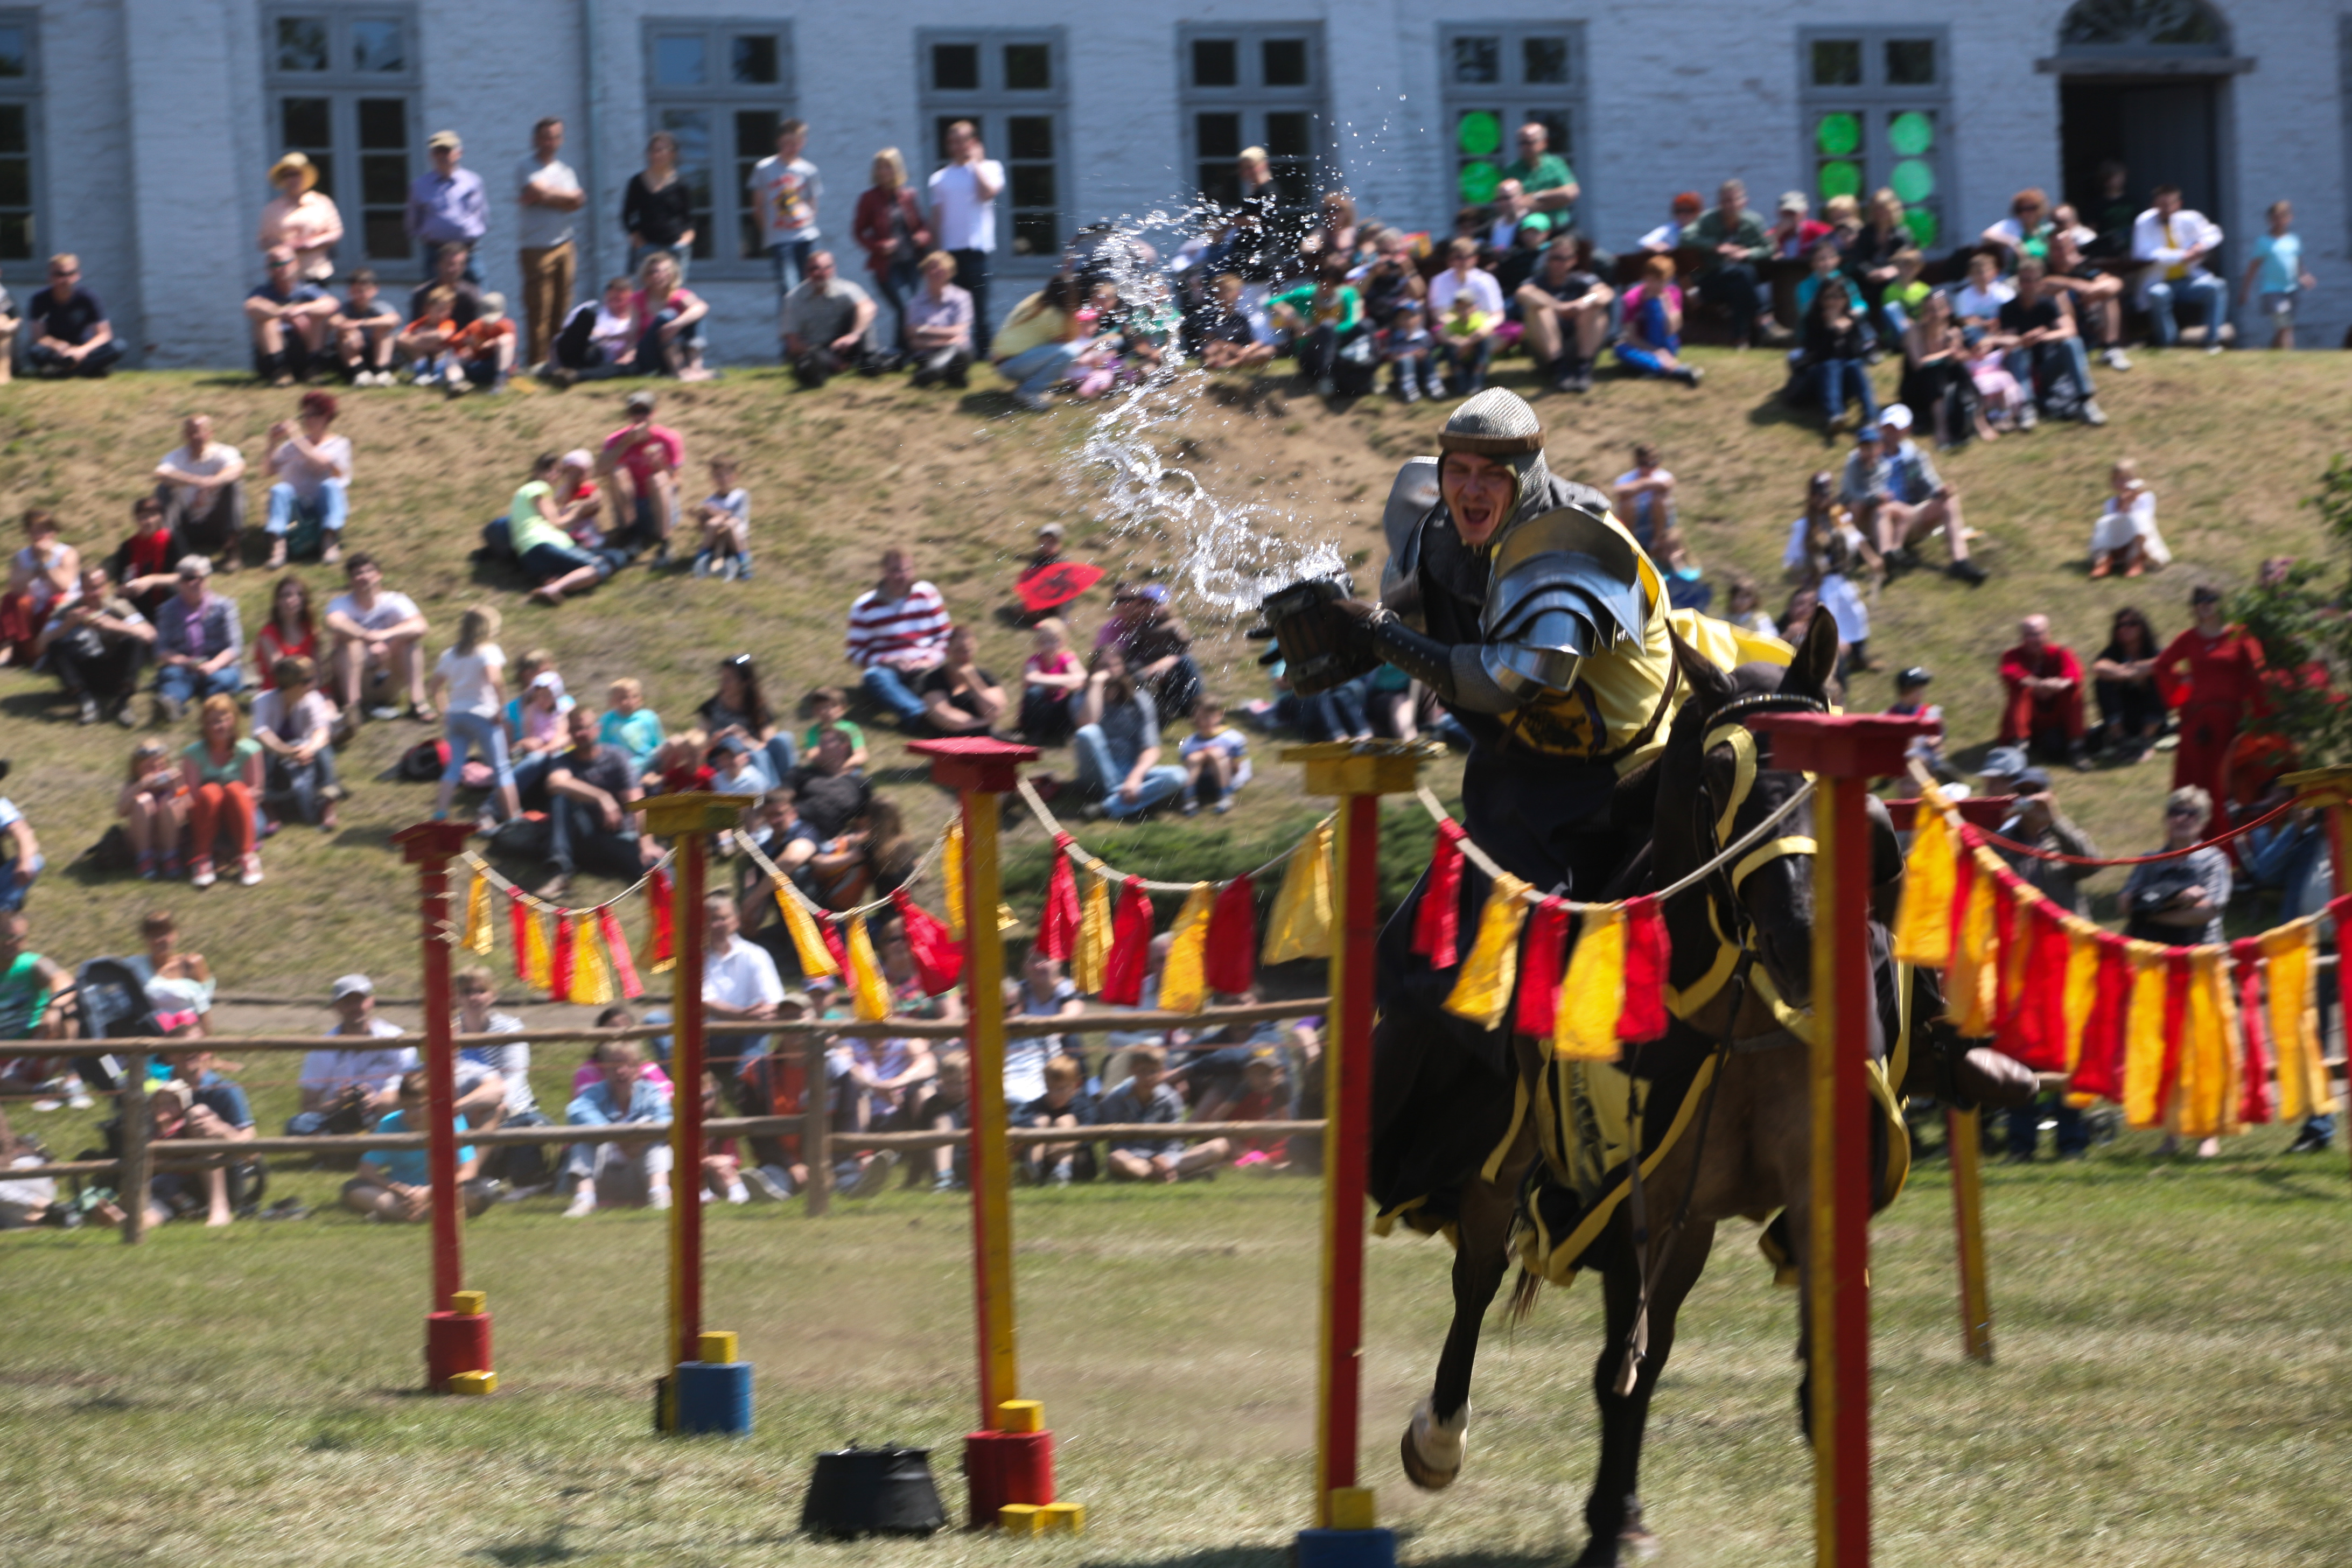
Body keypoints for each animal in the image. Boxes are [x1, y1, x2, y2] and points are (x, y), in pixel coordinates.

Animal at [1391, 611, 1927, 1567]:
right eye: (1718, 775)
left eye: (1826, 774)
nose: (1802, 938)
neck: (1731, 1004)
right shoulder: (1637, 1203)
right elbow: (1619, 1374)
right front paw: (1603, 1527)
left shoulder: (1798, 1197)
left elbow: (1817, 1375)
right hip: (1515, 1169)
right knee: (1480, 1277)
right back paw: (1442, 1439)